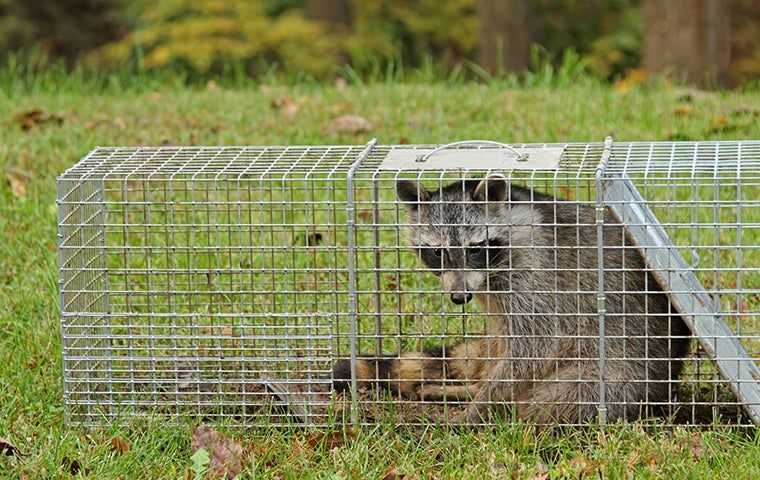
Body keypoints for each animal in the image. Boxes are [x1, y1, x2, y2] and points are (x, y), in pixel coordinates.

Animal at [332, 176, 688, 424]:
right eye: (437, 252)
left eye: (475, 249)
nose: (459, 297)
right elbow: (502, 344)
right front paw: (476, 392)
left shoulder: (536, 272)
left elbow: (534, 347)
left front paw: (479, 409)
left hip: (621, 377)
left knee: (553, 400)